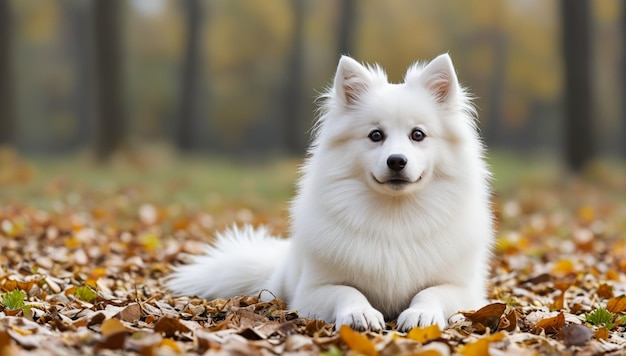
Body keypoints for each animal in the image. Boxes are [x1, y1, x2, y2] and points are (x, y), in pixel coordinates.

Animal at [166, 54, 492, 332]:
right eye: (376, 135)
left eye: (418, 135)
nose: (397, 160)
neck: (394, 214)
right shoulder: (313, 290)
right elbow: (346, 291)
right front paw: (360, 313)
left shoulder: (463, 289)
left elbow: (431, 292)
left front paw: (420, 313)